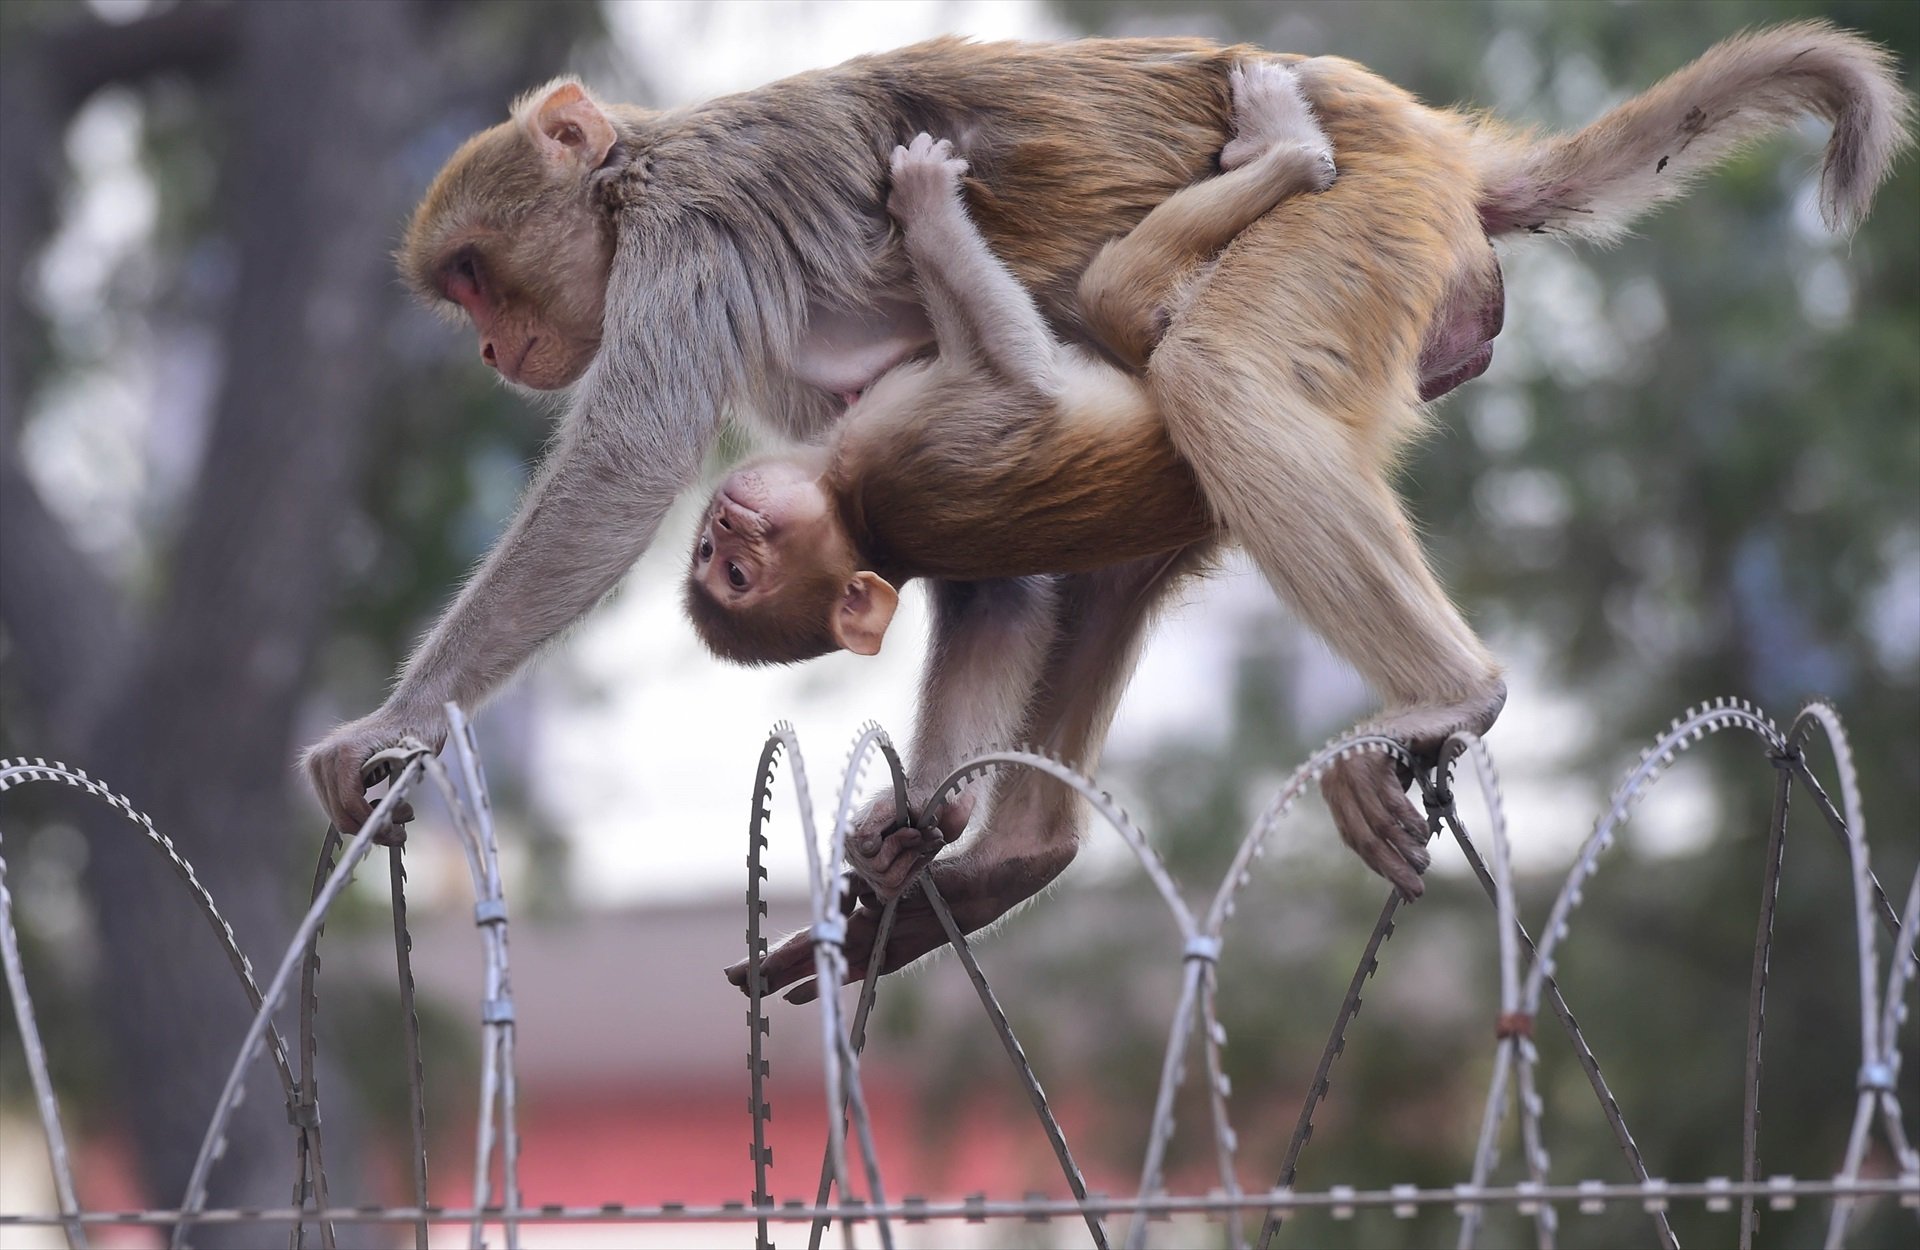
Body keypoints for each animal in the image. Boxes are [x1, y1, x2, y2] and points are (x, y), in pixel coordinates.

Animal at [687, 61, 1336, 664]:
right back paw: (1286, 150)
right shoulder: (898, 449)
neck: (856, 514)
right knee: (1110, 290)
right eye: (733, 572)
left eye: (715, 556)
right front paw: (925, 199)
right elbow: (1021, 383)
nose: (725, 522)